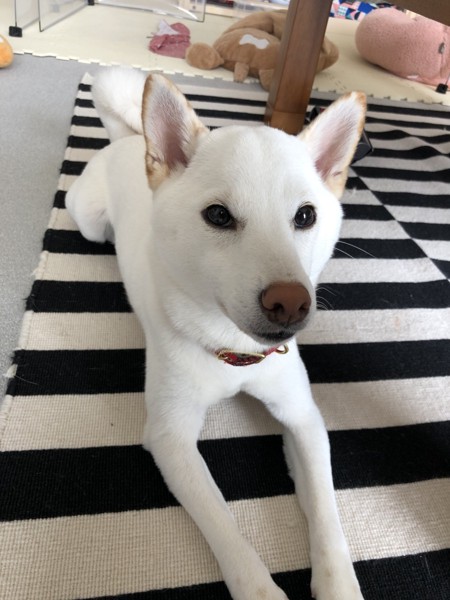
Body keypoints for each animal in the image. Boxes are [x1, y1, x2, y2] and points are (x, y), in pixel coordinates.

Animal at [66, 67, 366, 600]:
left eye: (305, 215)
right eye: (219, 216)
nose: (290, 302)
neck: (236, 352)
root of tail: (130, 140)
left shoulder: (303, 417)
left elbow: (326, 511)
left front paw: (338, 585)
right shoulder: (171, 437)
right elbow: (226, 529)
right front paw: (261, 591)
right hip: (89, 223)